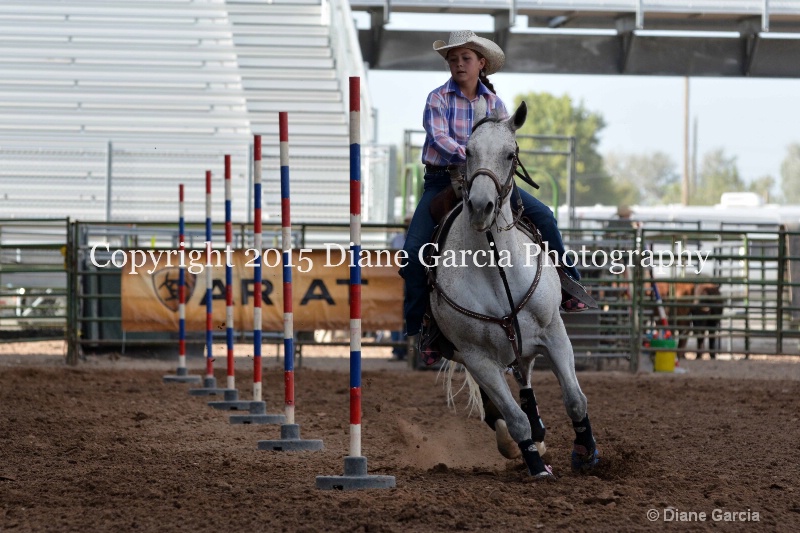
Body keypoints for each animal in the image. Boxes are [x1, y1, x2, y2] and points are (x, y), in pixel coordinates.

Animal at [428, 101, 596, 478]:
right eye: (469, 152)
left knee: (525, 376)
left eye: (510, 153)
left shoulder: (553, 333)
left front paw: (586, 453)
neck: (496, 270)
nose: (480, 206)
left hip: (524, 341)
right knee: (503, 406)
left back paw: (541, 429)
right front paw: (536, 466)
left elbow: (575, 400)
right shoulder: (476, 357)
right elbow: (514, 419)